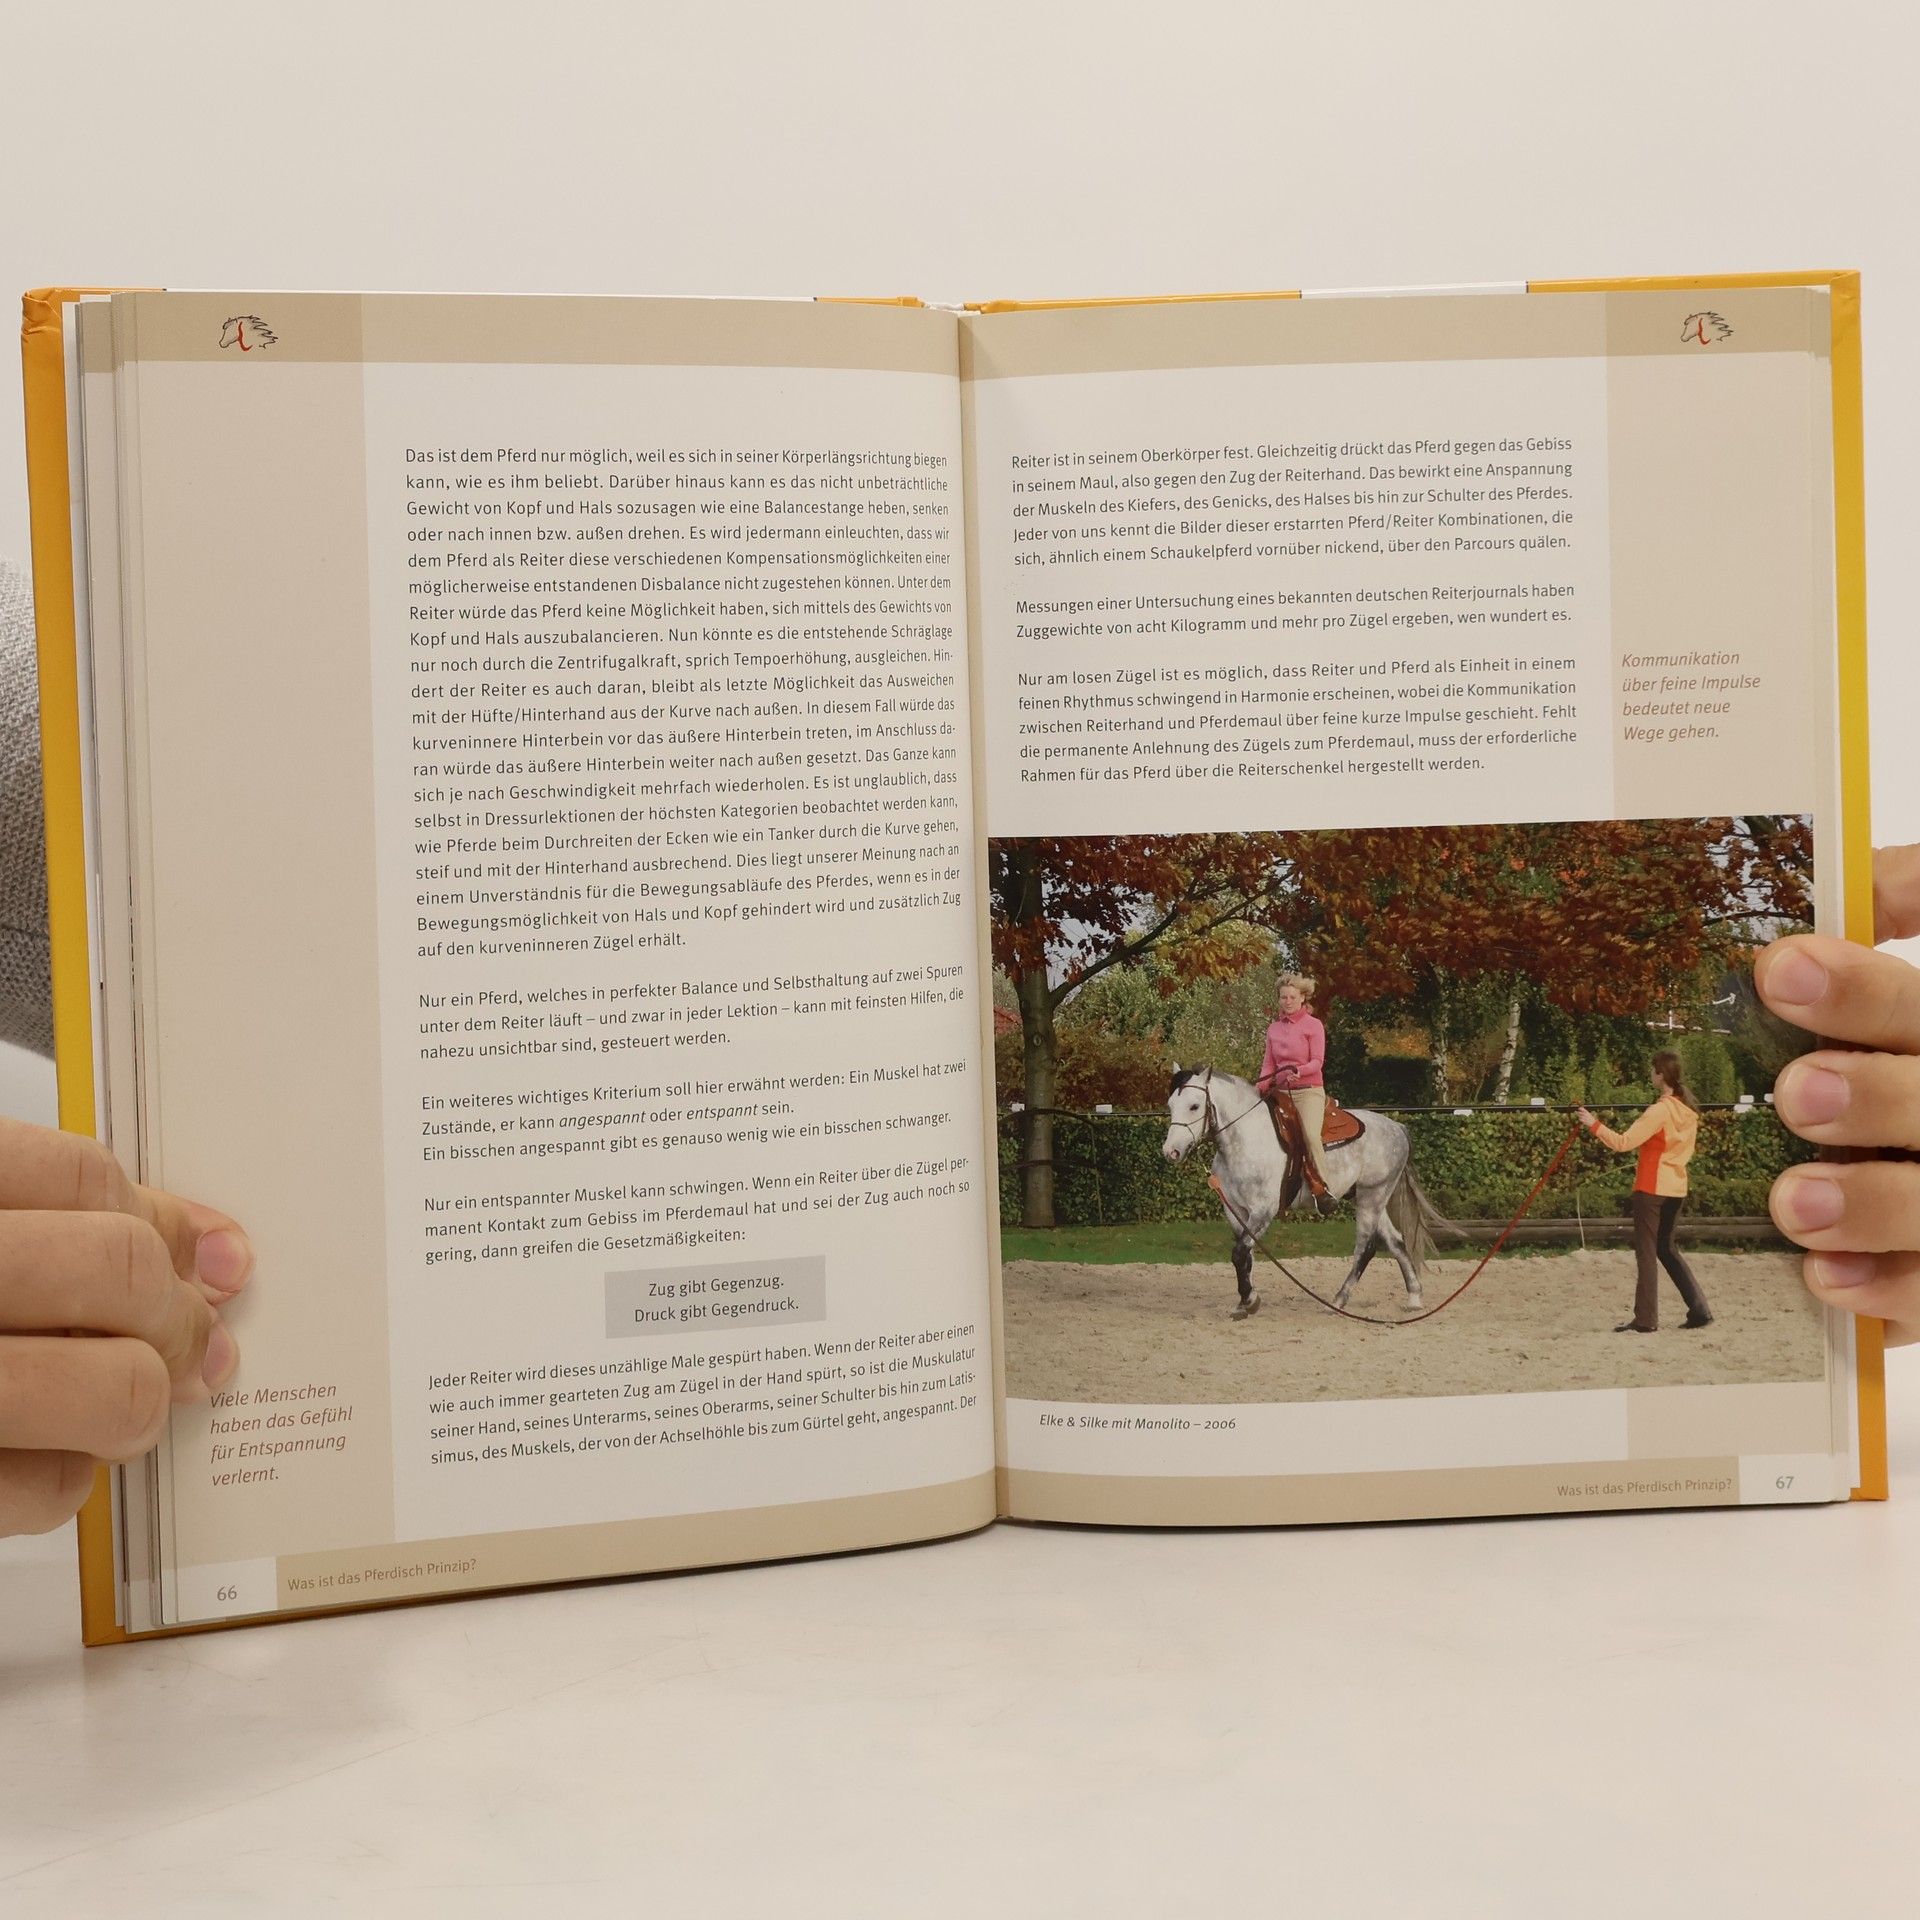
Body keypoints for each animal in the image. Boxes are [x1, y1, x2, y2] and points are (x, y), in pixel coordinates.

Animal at [1161, 1065, 1453, 1321]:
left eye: (1194, 1106)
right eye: (1171, 1105)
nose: (1170, 1151)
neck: (1247, 1138)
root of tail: (1398, 1128)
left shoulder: (1263, 1210)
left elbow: (1240, 1252)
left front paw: (1249, 1300)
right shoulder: (1236, 1211)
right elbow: (1246, 1256)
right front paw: (1245, 1301)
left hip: (1373, 1196)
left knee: (1366, 1247)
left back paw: (1338, 1301)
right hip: (1370, 1199)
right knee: (1396, 1241)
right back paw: (1414, 1298)